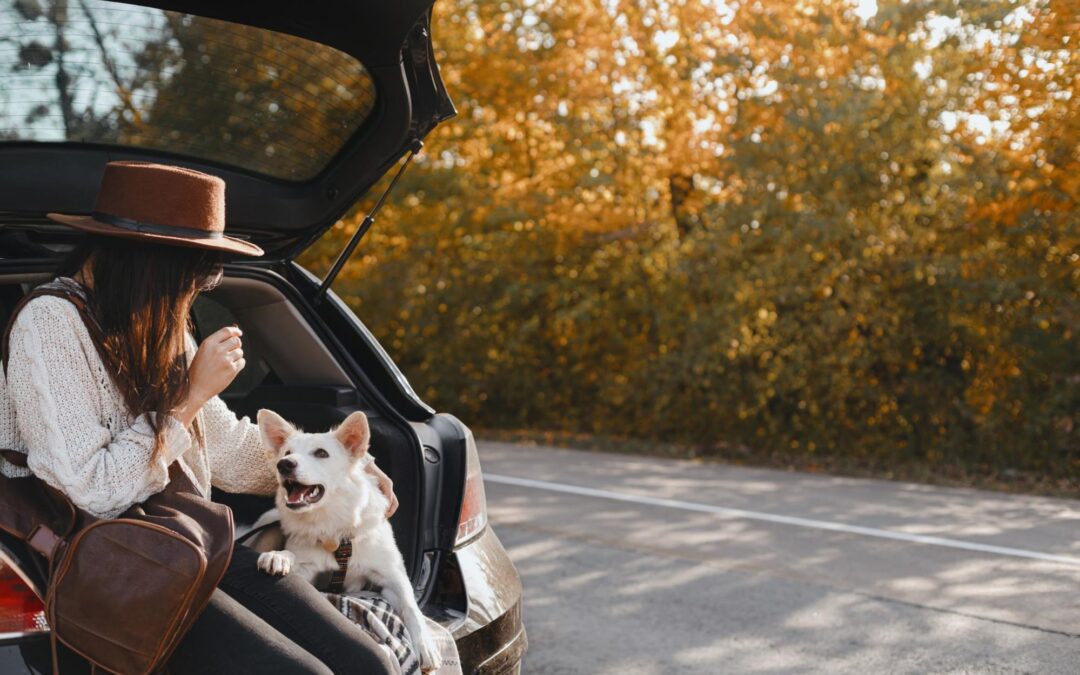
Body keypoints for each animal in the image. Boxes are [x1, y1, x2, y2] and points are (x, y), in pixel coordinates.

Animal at [254, 408, 440, 669]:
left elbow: (411, 607)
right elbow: (292, 557)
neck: (334, 530)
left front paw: (425, 645)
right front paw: (278, 557)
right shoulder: (308, 574)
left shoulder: (392, 577)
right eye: (287, 453)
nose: (284, 464)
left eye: (321, 453)